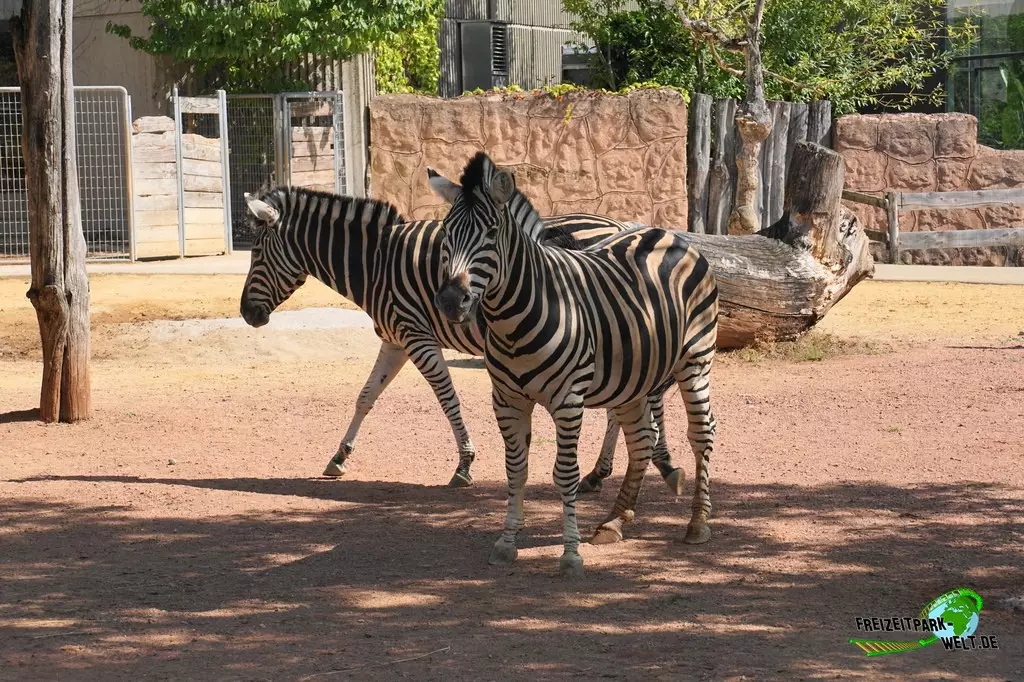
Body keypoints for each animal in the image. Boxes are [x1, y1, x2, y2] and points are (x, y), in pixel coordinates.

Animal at [238, 186, 686, 490]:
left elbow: (447, 398)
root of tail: (622, 226)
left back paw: (635, 464)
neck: (376, 262)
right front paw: (339, 455)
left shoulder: (417, 336)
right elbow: (366, 396)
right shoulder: (394, 340)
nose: (246, 314)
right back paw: (608, 470)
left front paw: (465, 464)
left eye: (256, 253)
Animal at [428, 152, 719, 576]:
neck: (515, 319)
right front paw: (507, 543)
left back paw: (698, 523)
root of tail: (666, 234)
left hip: (695, 360)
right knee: (642, 440)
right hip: (633, 379)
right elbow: (516, 470)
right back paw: (614, 521)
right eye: (447, 232)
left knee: (702, 434)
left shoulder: (567, 400)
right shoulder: (507, 399)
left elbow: (564, 474)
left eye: (492, 232)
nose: (451, 301)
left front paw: (570, 555)